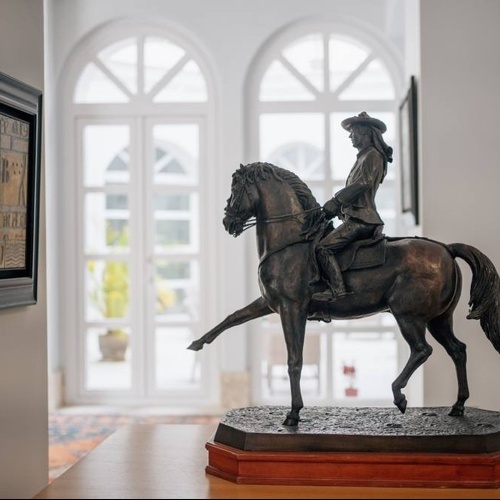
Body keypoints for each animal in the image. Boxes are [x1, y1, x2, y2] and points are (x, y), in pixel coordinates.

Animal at [188, 161, 500, 426]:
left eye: (236, 189)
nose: (228, 222)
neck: (291, 243)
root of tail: (446, 249)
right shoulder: (269, 303)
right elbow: (233, 317)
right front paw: (198, 342)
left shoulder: (292, 309)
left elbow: (294, 360)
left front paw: (293, 413)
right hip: (439, 319)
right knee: (457, 350)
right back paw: (457, 406)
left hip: (408, 316)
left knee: (423, 350)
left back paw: (399, 395)